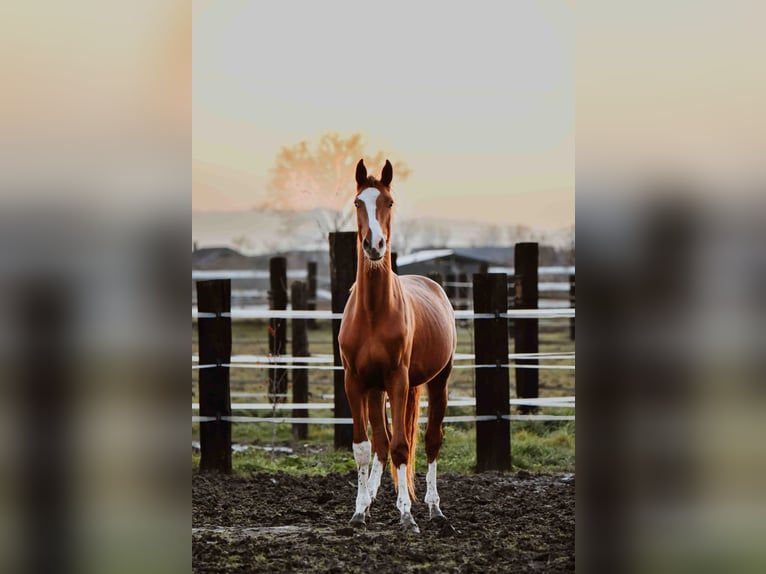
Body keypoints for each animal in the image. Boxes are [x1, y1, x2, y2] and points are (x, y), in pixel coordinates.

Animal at [340, 159, 456, 536]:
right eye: (357, 202)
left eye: (389, 202)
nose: (374, 245)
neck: (374, 312)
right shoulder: (355, 381)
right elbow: (364, 447)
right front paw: (359, 510)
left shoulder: (398, 379)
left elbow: (402, 446)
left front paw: (406, 515)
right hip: (378, 390)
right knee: (381, 443)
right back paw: (372, 499)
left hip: (437, 382)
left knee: (431, 439)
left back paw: (434, 508)